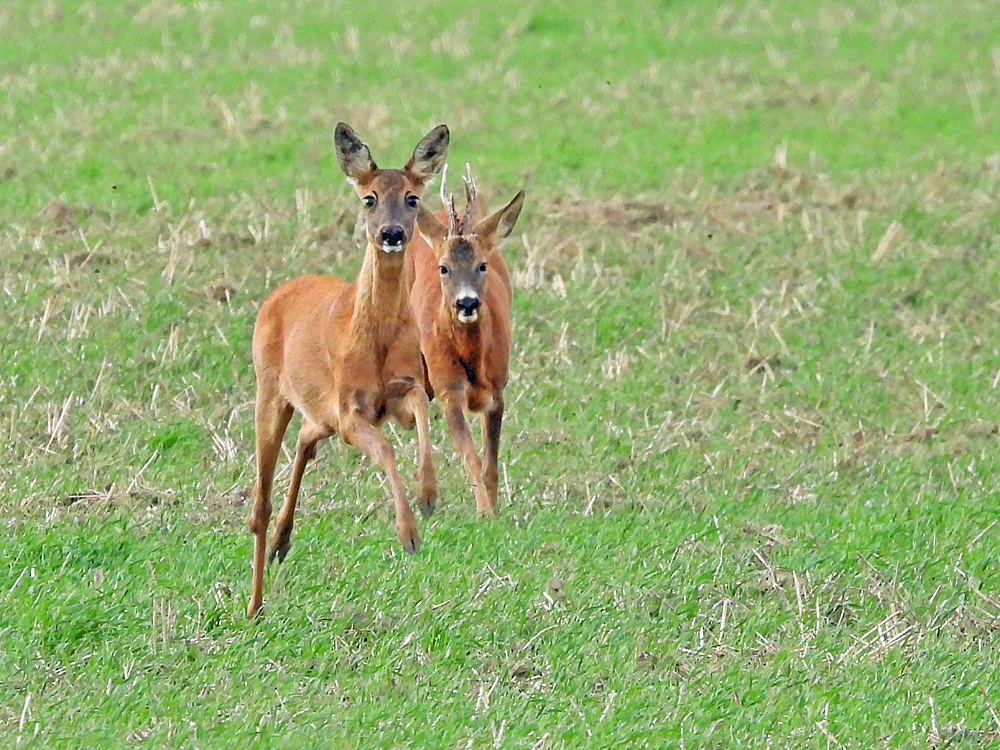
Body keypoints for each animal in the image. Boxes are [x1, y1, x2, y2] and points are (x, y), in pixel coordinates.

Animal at [248, 122, 452, 616]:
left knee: (305, 440)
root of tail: (279, 293)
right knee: (259, 501)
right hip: (271, 391)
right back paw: (255, 605)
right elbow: (386, 449)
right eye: (369, 198)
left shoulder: (400, 391)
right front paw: (409, 534)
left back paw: (283, 543)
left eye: (413, 197)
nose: (392, 234)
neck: (373, 340)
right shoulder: (350, 410)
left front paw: (428, 494)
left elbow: (421, 413)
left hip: (317, 411)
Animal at [406, 170, 528, 520]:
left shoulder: (498, 388)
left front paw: (493, 508)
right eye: (444, 267)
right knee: (416, 397)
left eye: (482, 265)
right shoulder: (449, 388)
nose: (467, 303)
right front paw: (484, 512)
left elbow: (491, 461)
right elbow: (471, 456)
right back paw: (426, 494)